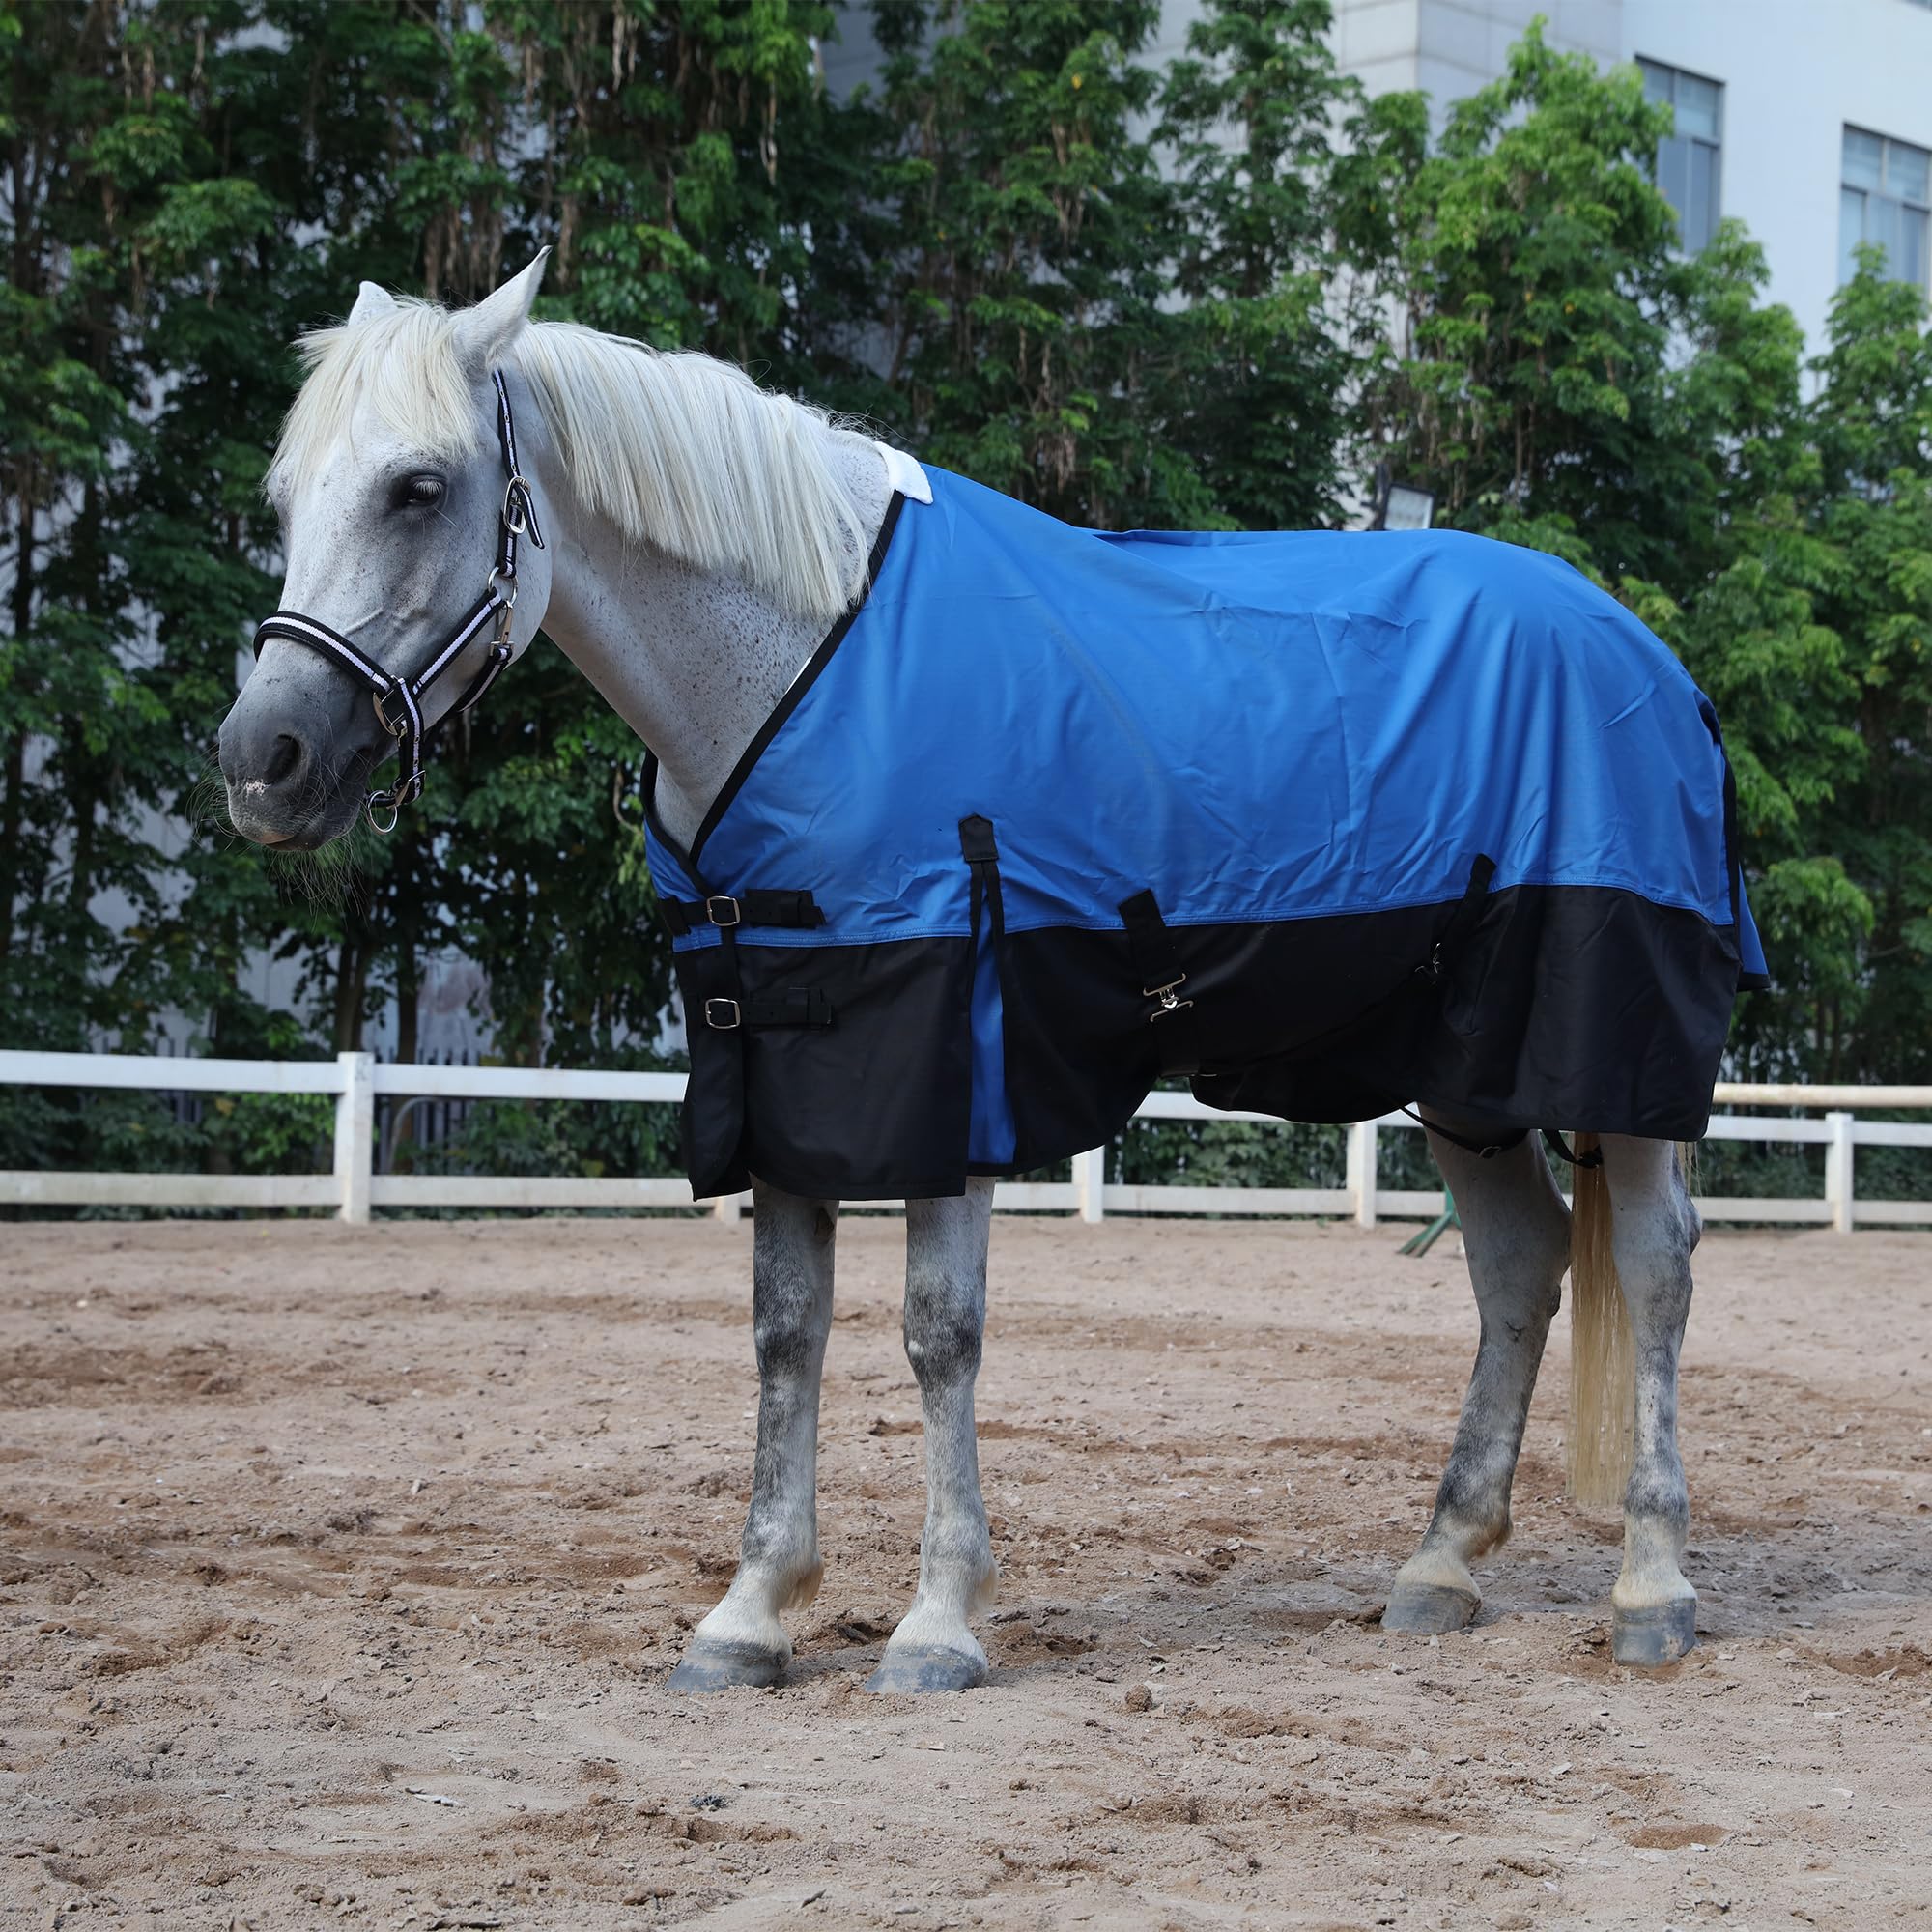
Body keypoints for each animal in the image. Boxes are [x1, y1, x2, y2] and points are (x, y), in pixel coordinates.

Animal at [218, 255, 1760, 1691]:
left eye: (419, 487)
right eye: (286, 498)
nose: (261, 762)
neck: (803, 669)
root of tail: (1649, 658)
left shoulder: (947, 1057)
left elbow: (935, 1333)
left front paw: (939, 1621)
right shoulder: (781, 1061)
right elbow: (786, 1334)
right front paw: (750, 1613)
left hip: (1609, 1053)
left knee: (1654, 1268)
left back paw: (1652, 1587)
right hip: (1462, 1074)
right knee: (1519, 1267)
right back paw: (1442, 1562)